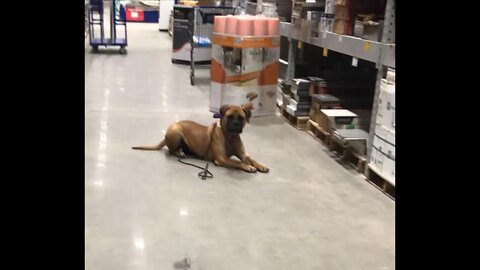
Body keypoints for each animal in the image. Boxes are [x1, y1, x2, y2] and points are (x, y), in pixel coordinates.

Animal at [131, 103, 270, 173]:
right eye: (230, 116)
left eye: (241, 118)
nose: (236, 124)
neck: (230, 137)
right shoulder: (221, 158)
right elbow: (237, 162)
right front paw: (247, 166)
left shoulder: (243, 154)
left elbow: (250, 158)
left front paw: (260, 165)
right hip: (176, 131)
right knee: (171, 150)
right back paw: (179, 152)